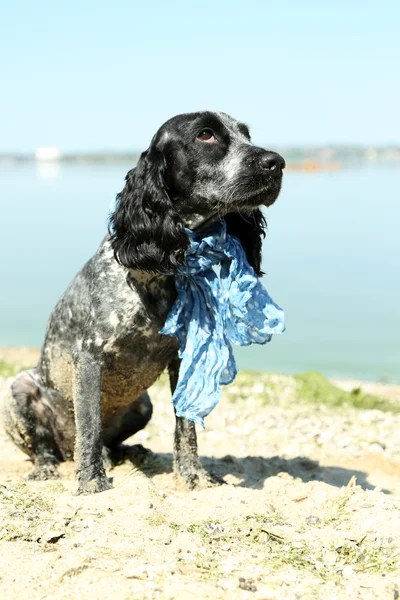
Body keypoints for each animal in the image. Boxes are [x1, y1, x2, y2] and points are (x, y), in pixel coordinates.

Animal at [3, 111, 284, 492]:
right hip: (18, 390)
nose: (277, 162)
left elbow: (185, 427)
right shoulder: (89, 356)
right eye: (206, 135)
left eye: (246, 135)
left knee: (110, 442)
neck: (161, 268)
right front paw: (91, 481)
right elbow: (89, 427)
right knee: (48, 447)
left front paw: (192, 475)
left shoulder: (182, 359)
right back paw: (50, 465)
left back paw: (129, 453)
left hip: (143, 406)